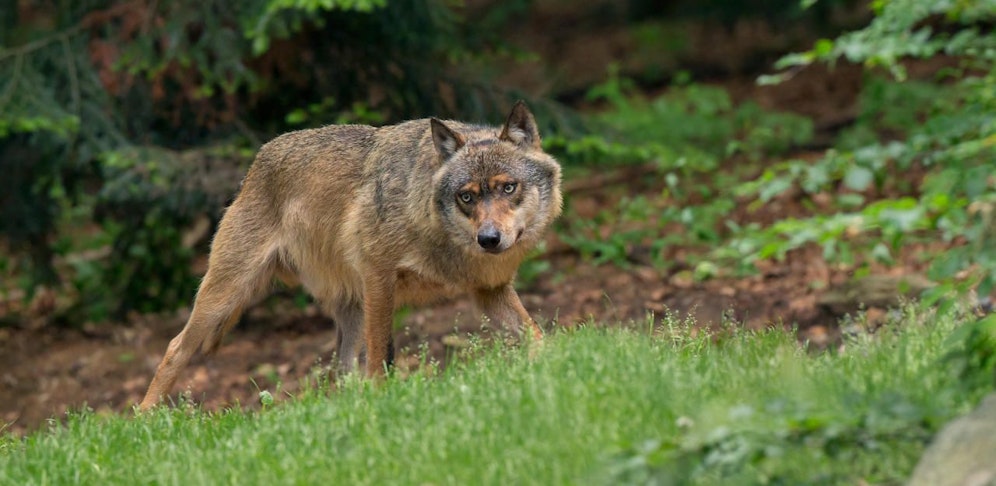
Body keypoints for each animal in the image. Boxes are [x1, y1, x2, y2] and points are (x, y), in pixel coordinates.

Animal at [139, 101, 562, 409]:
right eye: (467, 197)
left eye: (508, 187)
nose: (488, 239)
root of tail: (257, 161)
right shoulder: (379, 278)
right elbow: (378, 360)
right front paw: (381, 400)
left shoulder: (489, 291)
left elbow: (535, 335)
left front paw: (560, 363)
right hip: (223, 298)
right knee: (175, 347)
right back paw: (144, 418)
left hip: (349, 311)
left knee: (340, 374)